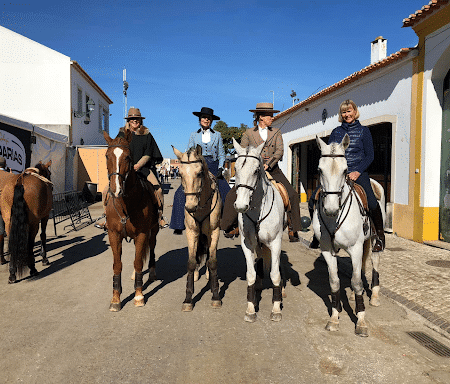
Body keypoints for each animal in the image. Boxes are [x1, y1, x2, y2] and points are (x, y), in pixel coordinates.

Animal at [103, 130, 159, 310]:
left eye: (128, 157)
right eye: (107, 156)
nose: (116, 190)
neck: (125, 204)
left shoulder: (142, 234)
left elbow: (138, 262)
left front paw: (139, 295)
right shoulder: (114, 235)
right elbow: (117, 265)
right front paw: (116, 298)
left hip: (153, 231)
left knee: (151, 249)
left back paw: (152, 273)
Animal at [172, 146, 221, 310]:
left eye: (199, 173)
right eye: (180, 173)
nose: (190, 206)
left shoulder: (214, 232)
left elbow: (212, 261)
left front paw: (215, 295)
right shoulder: (191, 232)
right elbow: (191, 262)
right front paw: (188, 299)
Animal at [232, 136, 284, 322]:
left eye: (255, 171)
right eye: (236, 169)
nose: (241, 205)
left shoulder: (275, 242)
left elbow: (275, 274)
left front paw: (276, 308)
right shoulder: (247, 243)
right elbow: (251, 274)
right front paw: (250, 308)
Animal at [312, 134, 386, 336]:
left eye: (345, 170)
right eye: (320, 169)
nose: (330, 209)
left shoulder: (355, 248)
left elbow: (358, 282)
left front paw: (361, 321)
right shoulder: (328, 250)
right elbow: (335, 282)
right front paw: (334, 318)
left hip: (374, 240)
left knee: (374, 261)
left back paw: (374, 296)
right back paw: (353, 296)